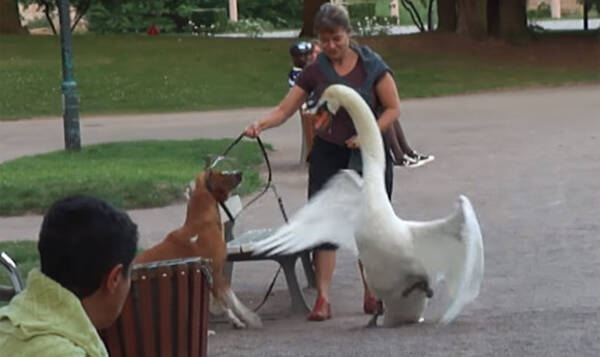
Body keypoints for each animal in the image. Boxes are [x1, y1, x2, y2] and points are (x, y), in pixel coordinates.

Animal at [137, 170, 262, 328]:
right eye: (221, 174)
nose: (240, 172)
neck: (201, 223)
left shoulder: (217, 274)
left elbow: (232, 299)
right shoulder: (215, 273)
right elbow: (226, 302)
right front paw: (238, 319)